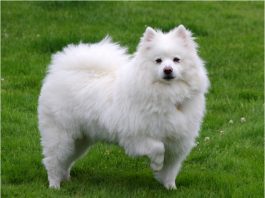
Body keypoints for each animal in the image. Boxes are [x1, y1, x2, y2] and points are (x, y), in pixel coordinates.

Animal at [38, 25, 209, 189]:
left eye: (176, 60)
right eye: (158, 61)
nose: (168, 70)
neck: (168, 94)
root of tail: (59, 71)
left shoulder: (177, 142)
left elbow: (171, 169)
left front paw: (170, 187)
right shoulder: (136, 136)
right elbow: (158, 148)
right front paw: (156, 165)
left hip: (80, 140)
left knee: (66, 161)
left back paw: (66, 179)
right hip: (60, 135)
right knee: (53, 161)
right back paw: (54, 185)